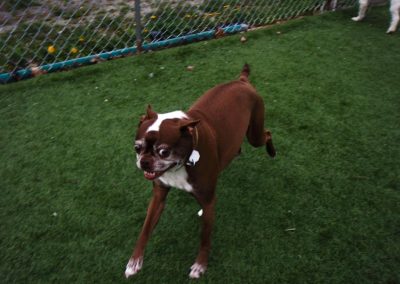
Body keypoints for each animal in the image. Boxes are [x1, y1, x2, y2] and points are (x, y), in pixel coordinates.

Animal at [125, 65, 276, 280]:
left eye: (164, 152)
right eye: (137, 148)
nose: (145, 162)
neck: (181, 164)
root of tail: (242, 81)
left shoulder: (208, 201)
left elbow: (204, 237)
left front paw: (200, 265)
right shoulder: (158, 197)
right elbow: (145, 228)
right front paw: (134, 261)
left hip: (255, 133)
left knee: (268, 134)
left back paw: (272, 152)